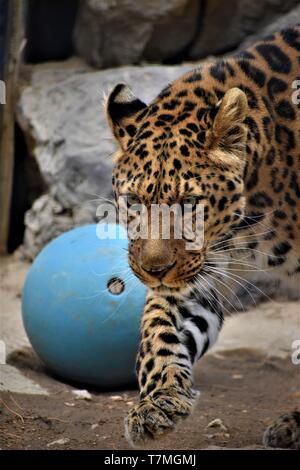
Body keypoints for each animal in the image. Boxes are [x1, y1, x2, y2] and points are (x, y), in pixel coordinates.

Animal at [105, 27, 300, 450]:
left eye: (190, 203)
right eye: (133, 201)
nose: (154, 270)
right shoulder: (201, 276)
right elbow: (158, 328)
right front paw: (159, 401)